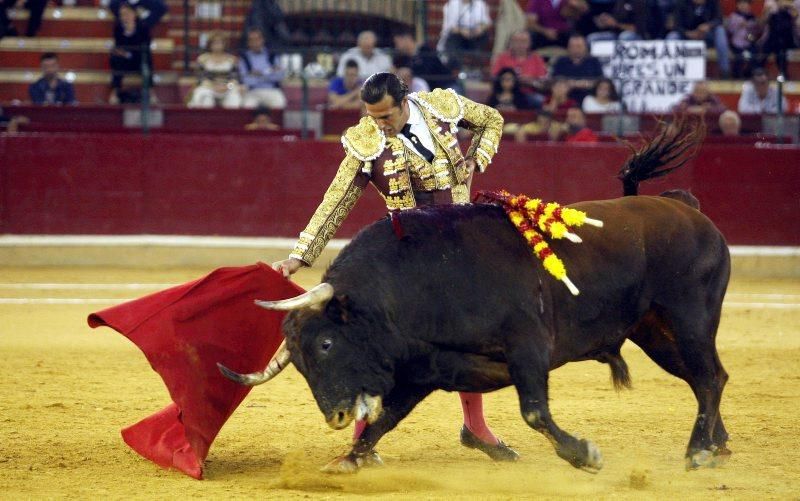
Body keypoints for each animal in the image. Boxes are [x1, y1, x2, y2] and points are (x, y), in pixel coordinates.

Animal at [219, 131, 732, 470]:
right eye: (300, 364)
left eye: (326, 344)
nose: (337, 417)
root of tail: (685, 208)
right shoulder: (424, 370)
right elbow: (386, 418)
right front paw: (350, 458)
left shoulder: (529, 347)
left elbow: (534, 410)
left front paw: (583, 453)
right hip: (654, 332)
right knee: (706, 378)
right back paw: (715, 444)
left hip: (690, 317)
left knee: (708, 377)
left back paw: (698, 450)